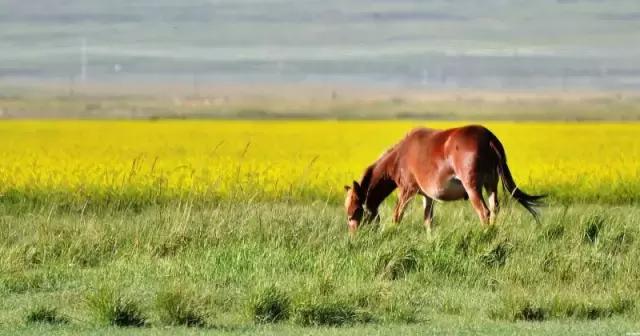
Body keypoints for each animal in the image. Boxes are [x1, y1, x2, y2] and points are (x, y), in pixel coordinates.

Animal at [344, 124, 544, 236]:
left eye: (353, 213)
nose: (354, 238)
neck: (400, 156)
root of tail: (489, 138)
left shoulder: (407, 190)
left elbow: (397, 216)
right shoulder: (427, 196)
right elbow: (428, 220)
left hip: (473, 188)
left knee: (484, 212)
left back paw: (485, 236)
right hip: (491, 185)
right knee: (494, 209)